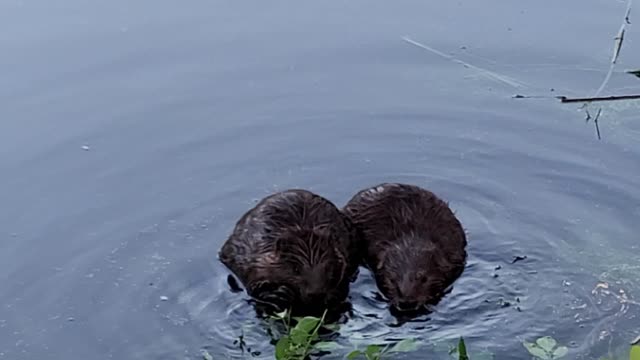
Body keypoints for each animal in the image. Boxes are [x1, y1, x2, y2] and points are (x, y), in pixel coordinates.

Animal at [219, 188, 360, 318]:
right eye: (296, 269)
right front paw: (281, 293)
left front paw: (334, 295)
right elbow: (254, 286)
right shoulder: (253, 258)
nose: (316, 294)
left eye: (328, 268)